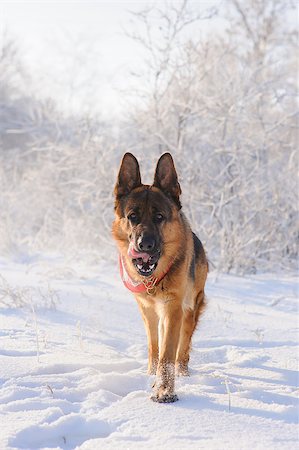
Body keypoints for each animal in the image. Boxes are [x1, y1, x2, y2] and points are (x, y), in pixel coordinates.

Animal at [112, 153, 209, 402]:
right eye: (132, 217)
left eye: (159, 217)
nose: (144, 245)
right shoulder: (147, 310)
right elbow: (155, 348)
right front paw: (152, 377)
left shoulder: (173, 307)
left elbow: (167, 355)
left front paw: (165, 391)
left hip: (190, 309)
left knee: (182, 348)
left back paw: (183, 373)